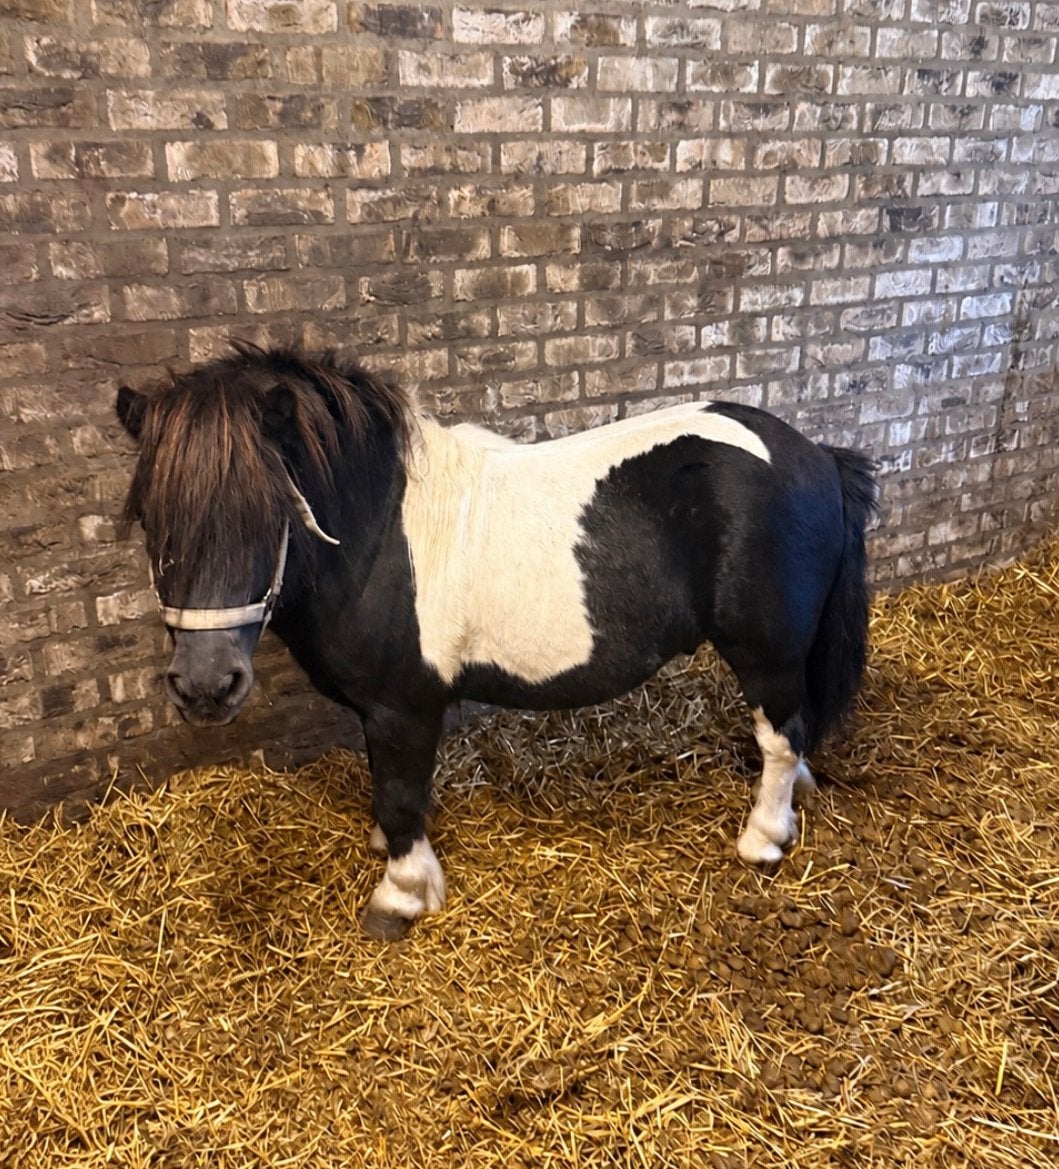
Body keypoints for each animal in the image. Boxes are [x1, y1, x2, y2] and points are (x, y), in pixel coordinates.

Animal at [116, 343, 877, 940]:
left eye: (268, 509)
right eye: (151, 516)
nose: (205, 686)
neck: (377, 535)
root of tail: (814, 456)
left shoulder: (402, 706)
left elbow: (398, 793)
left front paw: (401, 892)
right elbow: (390, 786)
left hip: (766, 651)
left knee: (780, 738)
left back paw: (763, 838)